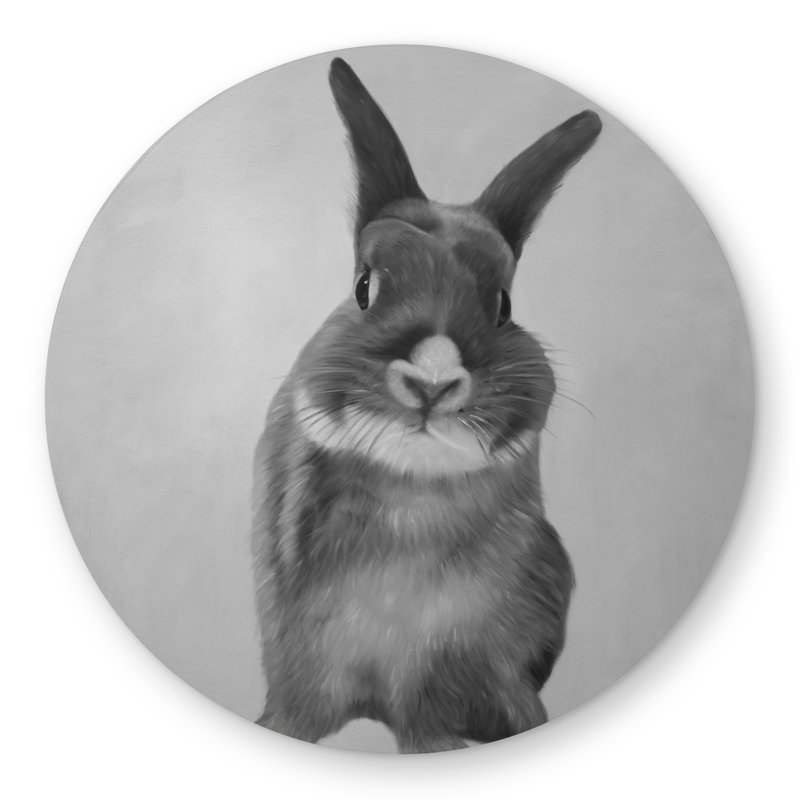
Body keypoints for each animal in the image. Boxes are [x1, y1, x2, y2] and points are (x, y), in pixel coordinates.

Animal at [251, 57, 601, 753]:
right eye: (364, 287)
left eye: (503, 306)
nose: (433, 381)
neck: (412, 492)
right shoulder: (300, 649)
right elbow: (301, 709)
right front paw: (278, 731)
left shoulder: (451, 662)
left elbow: (430, 719)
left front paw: (443, 748)